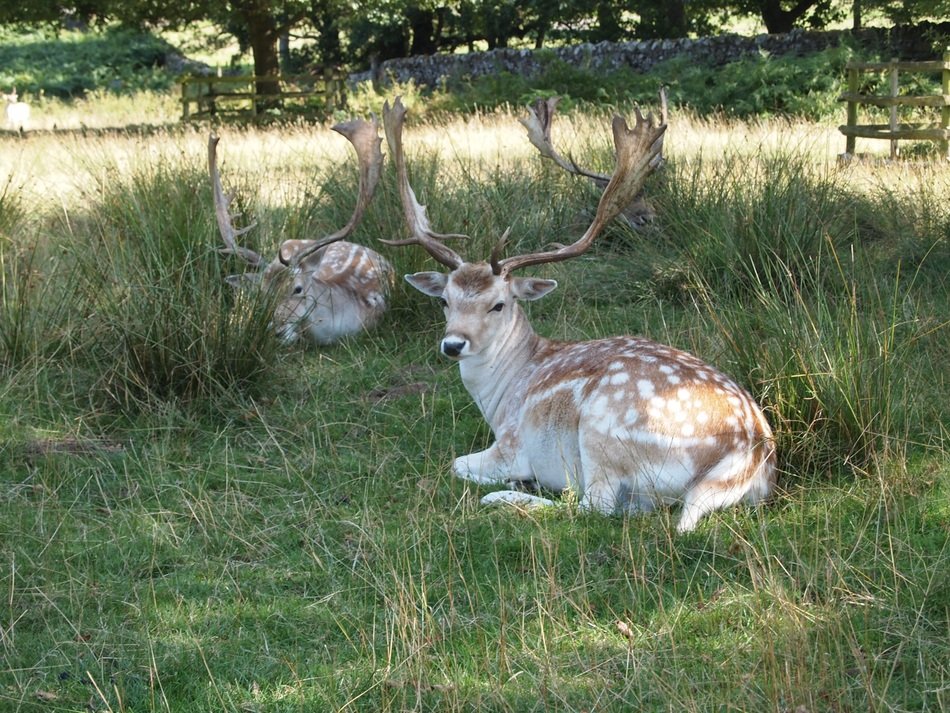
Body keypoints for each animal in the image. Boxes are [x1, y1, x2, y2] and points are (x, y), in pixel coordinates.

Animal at [382, 96, 776, 533]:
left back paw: (505, 497)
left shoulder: (511, 445)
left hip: (602, 433)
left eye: (498, 303)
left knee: (593, 505)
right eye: (445, 300)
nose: (453, 344)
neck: (503, 393)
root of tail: (746, 455)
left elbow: (456, 463)